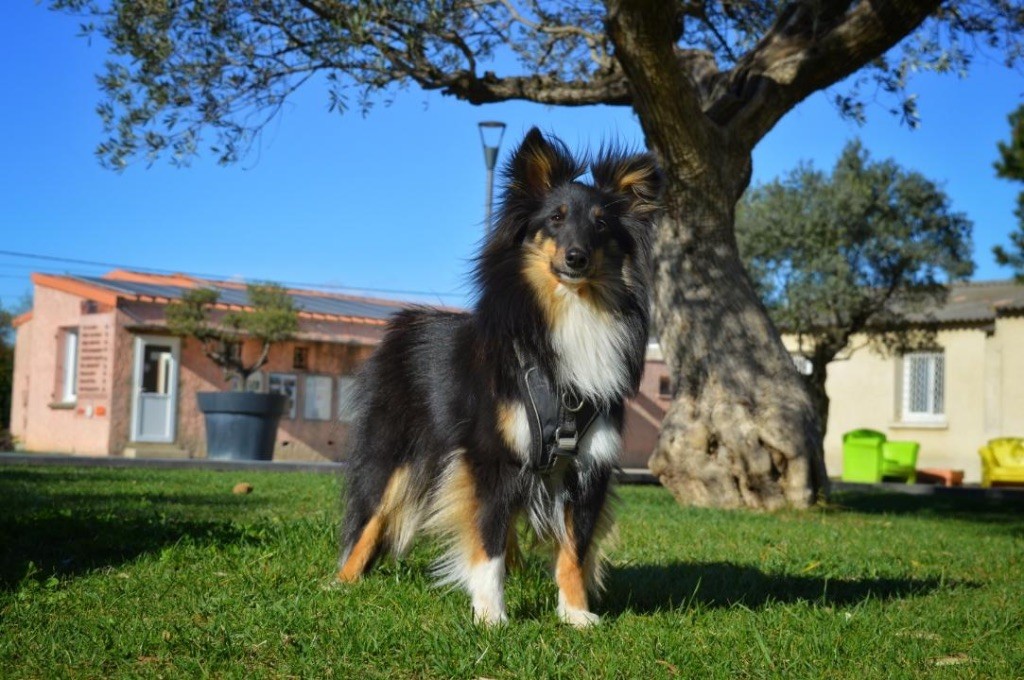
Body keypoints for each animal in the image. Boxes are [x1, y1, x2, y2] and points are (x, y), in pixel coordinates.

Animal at [337, 127, 663, 626]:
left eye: (602, 225)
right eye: (555, 218)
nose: (576, 258)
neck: (572, 312)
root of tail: (406, 323)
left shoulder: (589, 467)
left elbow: (573, 550)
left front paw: (575, 615)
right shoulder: (491, 457)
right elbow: (485, 540)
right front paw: (490, 615)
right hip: (393, 450)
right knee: (370, 515)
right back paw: (341, 583)